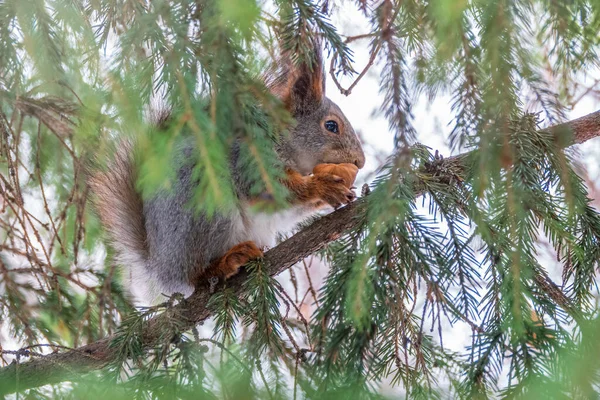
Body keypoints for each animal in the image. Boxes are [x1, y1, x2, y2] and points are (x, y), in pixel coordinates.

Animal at [86, 42, 364, 302]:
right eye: (331, 126)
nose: (360, 162)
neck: (280, 140)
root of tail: (160, 267)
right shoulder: (248, 159)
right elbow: (272, 191)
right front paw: (322, 186)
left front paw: (336, 191)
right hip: (206, 209)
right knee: (197, 275)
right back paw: (226, 263)